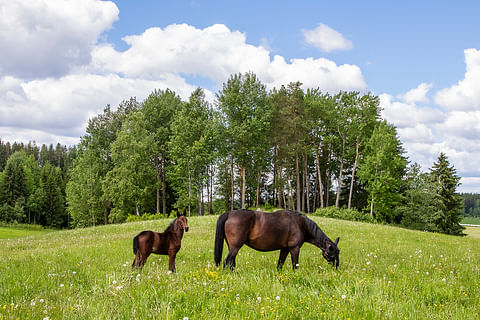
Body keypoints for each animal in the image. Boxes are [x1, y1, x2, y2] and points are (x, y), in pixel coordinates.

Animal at [214, 210, 342, 270]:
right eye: (331, 252)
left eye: (338, 252)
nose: (337, 266)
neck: (301, 224)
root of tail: (230, 213)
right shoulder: (294, 248)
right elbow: (295, 265)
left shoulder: (285, 249)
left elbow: (280, 265)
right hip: (235, 247)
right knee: (227, 262)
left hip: (232, 247)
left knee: (231, 262)